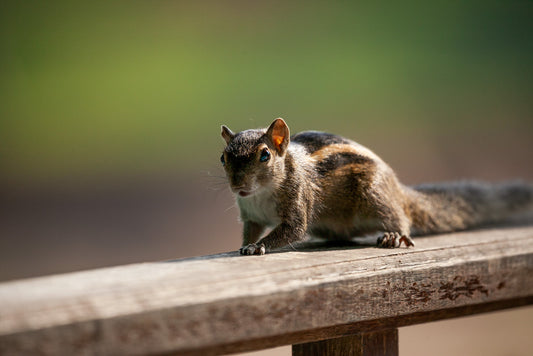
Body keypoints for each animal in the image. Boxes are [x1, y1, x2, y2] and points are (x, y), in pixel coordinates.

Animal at [219, 118, 532, 254]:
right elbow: (252, 230)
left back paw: (395, 235)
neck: (260, 193)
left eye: (265, 155)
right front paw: (245, 244)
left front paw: (257, 247)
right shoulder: (251, 215)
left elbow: (291, 230)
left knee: (401, 217)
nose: (238, 186)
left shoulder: (299, 197)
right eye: (223, 158)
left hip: (375, 194)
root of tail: (398, 189)